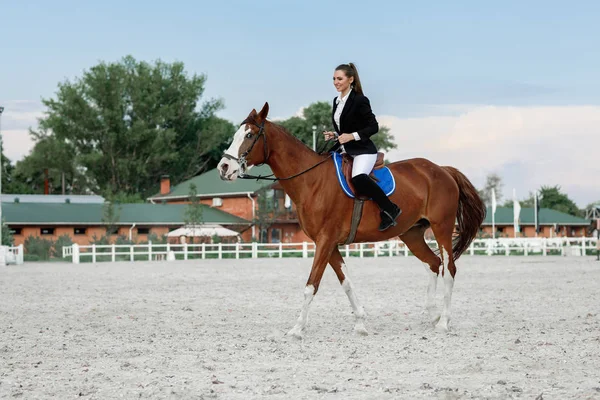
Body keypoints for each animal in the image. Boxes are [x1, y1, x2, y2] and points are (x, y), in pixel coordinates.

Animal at [218, 101, 486, 336]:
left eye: (249, 135)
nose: (223, 168)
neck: (311, 181)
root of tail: (442, 170)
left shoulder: (325, 241)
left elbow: (311, 285)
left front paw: (297, 329)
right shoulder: (329, 244)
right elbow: (345, 282)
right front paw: (360, 323)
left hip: (442, 228)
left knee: (449, 268)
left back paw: (444, 322)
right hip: (412, 234)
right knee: (433, 263)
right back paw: (433, 315)